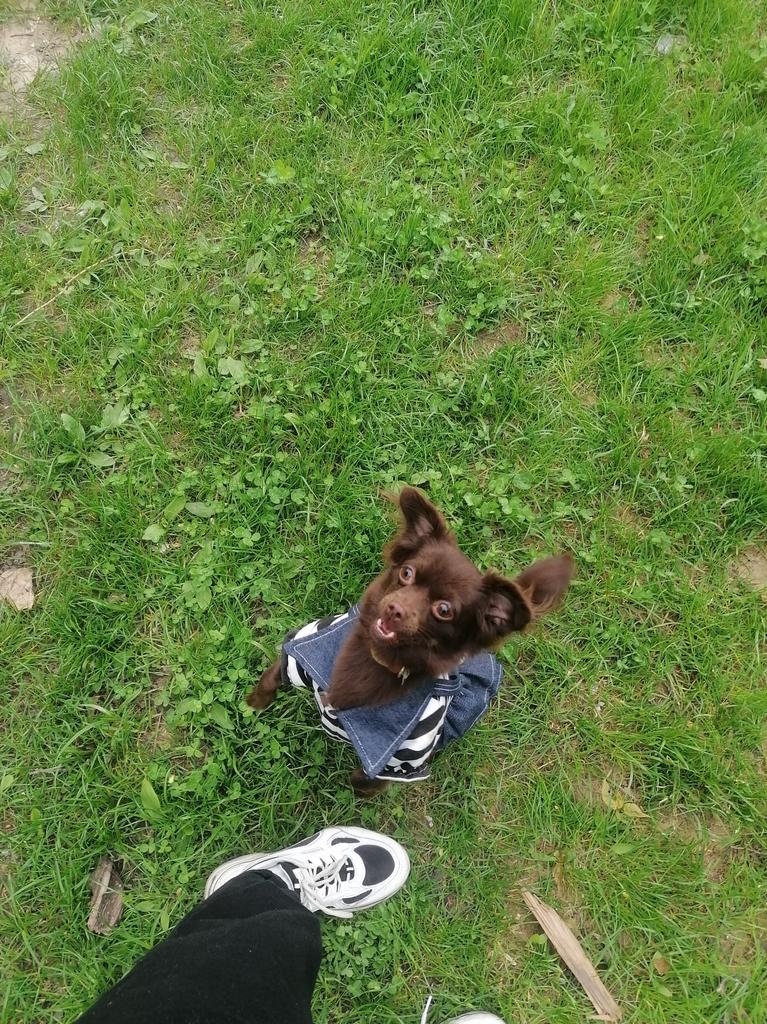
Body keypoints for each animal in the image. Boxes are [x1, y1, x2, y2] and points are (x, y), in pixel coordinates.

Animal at [247, 487, 573, 796]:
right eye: (407, 572)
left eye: (444, 610)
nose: (394, 609)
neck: (376, 658)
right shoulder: (301, 648)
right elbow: (270, 677)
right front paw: (253, 705)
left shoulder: (403, 762)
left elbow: (364, 780)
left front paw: (355, 793)